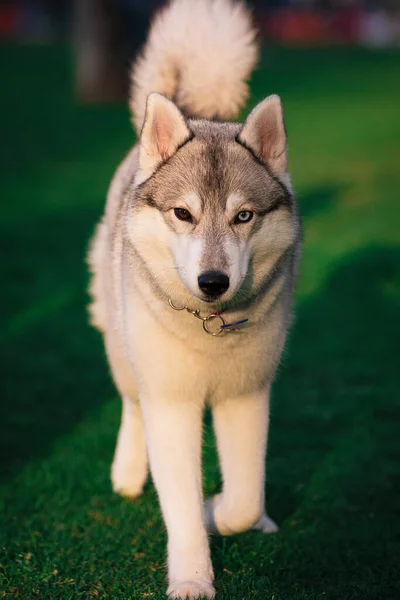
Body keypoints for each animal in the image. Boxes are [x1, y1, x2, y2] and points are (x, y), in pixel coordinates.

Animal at [87, 0, 300, 596]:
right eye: (183, 213)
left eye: (243, 215)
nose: (213, 281)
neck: (210, 329)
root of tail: (193, 109)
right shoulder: (171, 404)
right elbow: (178, 505)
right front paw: (191, 577)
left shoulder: (247, 396)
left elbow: (245, 499)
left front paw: (218, 511)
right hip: (122, 349)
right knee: (131, 404)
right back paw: (127, 472)